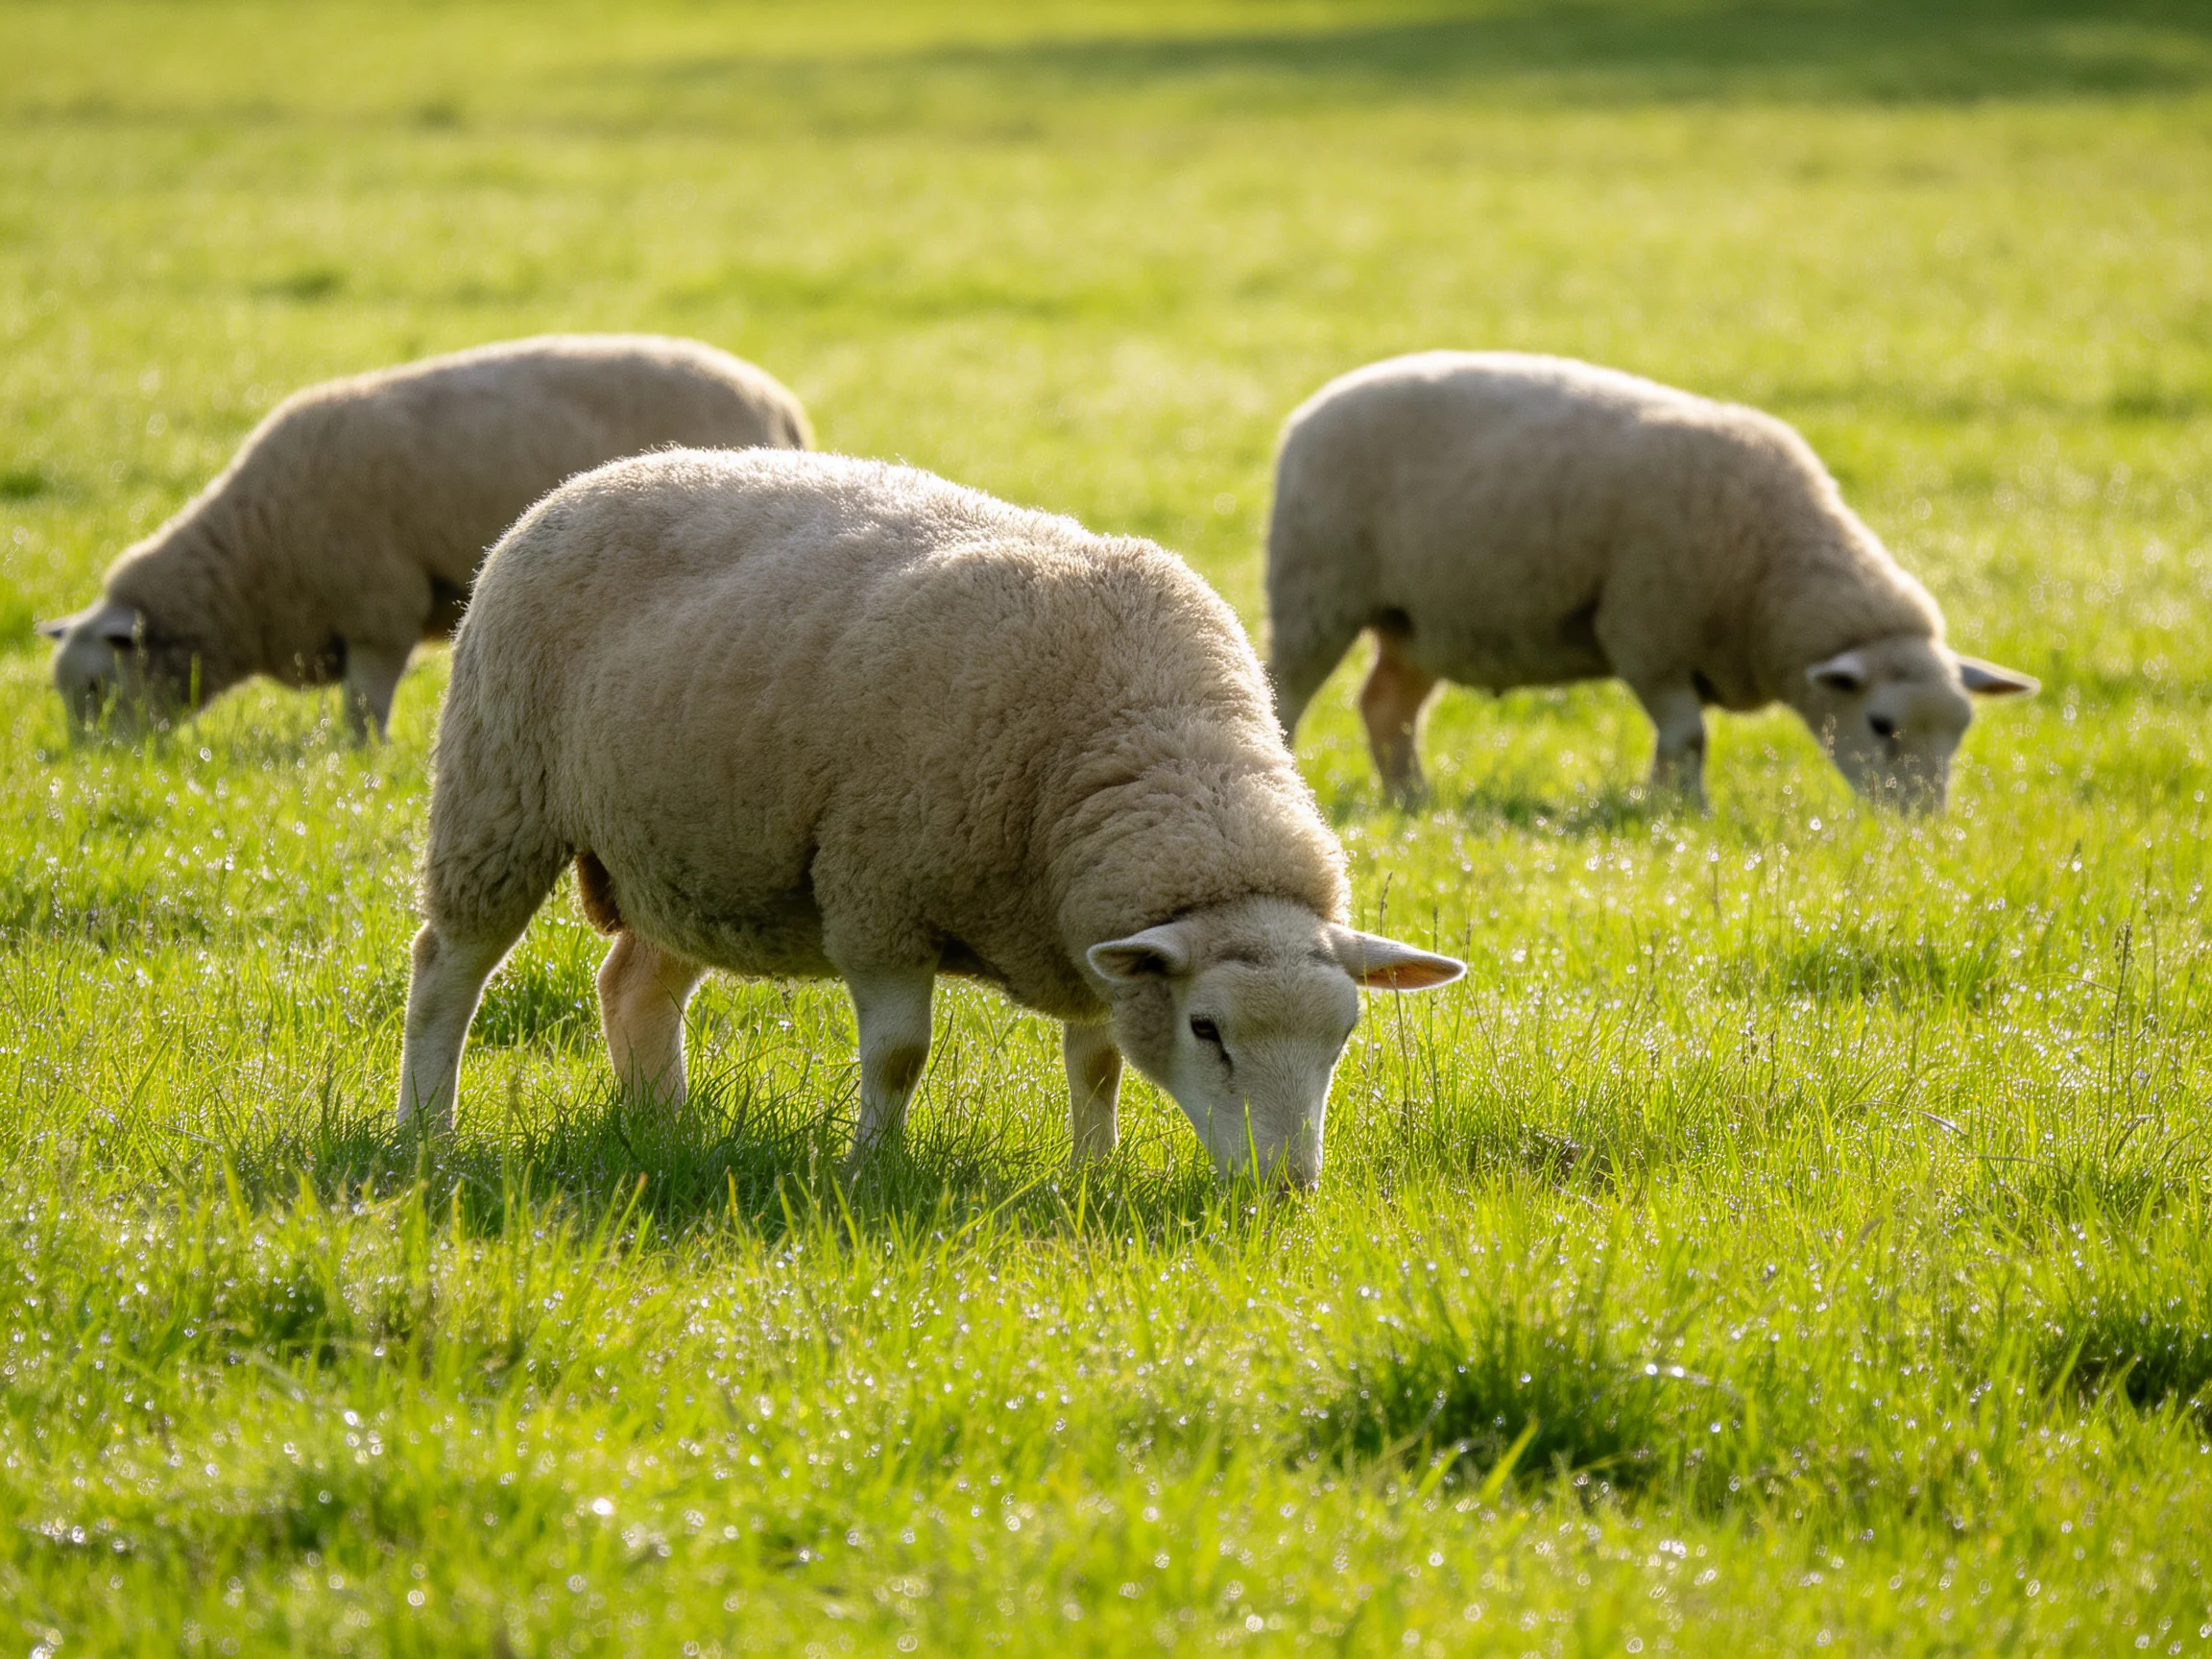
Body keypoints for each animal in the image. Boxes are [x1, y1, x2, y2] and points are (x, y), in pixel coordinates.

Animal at [38, 334, 811, 741]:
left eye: (98, 687)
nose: (98, 764)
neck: (249, 560)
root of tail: (779, 403)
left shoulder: (379, 610)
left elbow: (363, 709)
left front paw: (363, 764)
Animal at [395, 448, 1462, 1188]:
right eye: (1208, 1030)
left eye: (1343, 1036)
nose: (1288, 1189)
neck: (1151, 737)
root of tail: (586, 481)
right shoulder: (879, 901)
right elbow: (901, 1057)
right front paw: (873, 1169)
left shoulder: (1084, 937)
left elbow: (1098, 1065)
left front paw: (1094, 1174)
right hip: (498, 796)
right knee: (448, 969)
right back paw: (426, 1129)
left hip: (693, 856)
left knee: (632, 986)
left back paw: (663, 1129)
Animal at [1265, 352, 2037, 811]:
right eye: (1881, 724)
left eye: (1961, 729)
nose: (1921, 824)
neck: (1770, 569)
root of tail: (1314, 407)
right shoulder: (1646, 633)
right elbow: (1688, 736)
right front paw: (1683, 813)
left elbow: (1680, 740)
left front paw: (1666, 807)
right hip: (1316, 593)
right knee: (1287, 695)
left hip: (1418, 622)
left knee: (1386, 708)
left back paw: (1413, 801)